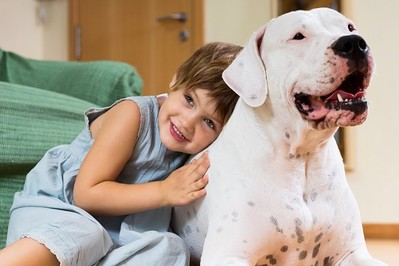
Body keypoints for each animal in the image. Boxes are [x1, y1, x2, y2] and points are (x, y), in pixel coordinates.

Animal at [173, 7, 388, 266]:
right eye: (298, 36)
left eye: (349, 27)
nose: (354, 43)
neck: (302, 158)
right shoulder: (226, 255)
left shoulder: (352, 252)